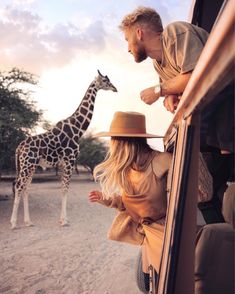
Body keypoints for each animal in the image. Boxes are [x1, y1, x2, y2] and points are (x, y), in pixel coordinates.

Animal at [10, 70, 117, 230]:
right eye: (105, 80)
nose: (115, 88)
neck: (78, 129)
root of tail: (19, 147)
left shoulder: (62, 164)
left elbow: (62, 189)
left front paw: (62, 220)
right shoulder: (69, 160)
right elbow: (65, 189)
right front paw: (65, 220)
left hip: (31, 166)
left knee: (26, 188)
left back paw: (28, 222)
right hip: (26, 164)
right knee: (18, 186)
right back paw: (13, 223)